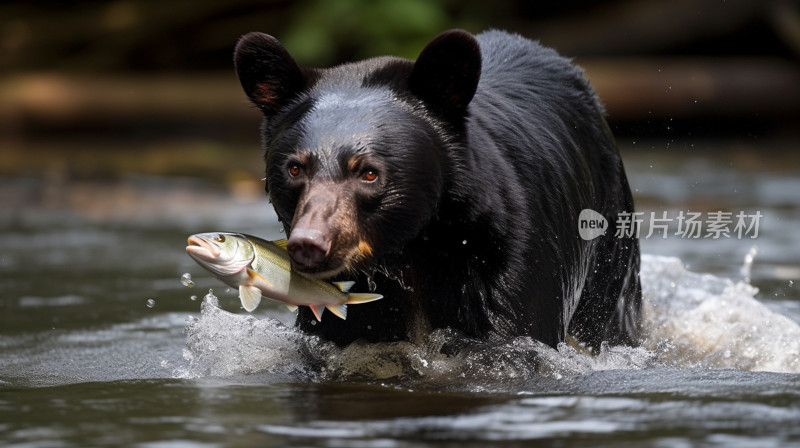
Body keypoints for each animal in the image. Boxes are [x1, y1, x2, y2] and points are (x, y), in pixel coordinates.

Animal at [233, 28, 644, 350]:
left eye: (369, 173)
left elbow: (517, 325)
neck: (412, 252)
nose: (310, 243)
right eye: (295, 168)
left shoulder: (511, 261)